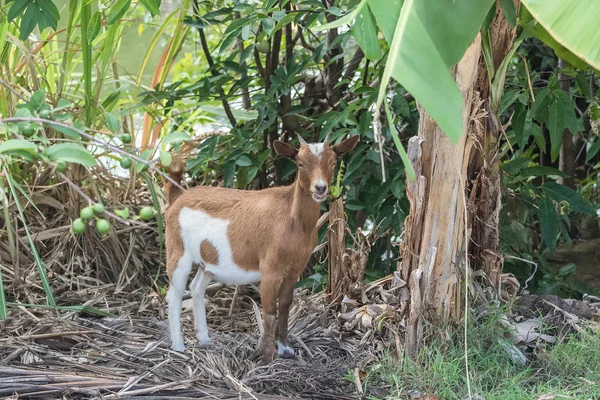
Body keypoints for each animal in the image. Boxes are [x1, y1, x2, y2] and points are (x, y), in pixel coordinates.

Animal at [164, 134, 358, 362]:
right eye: (300, 164)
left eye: (333, 163)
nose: (320, 188)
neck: (292, 220)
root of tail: (177, 198)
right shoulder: (270, 268)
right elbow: (269, 310)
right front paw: (266, 356)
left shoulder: (295, 268)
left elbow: (285, 305)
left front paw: (285, 349)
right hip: (178, 250)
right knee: (174, 294)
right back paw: (178, 346)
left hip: (208, 261)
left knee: (196, 288)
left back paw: (204, 339)